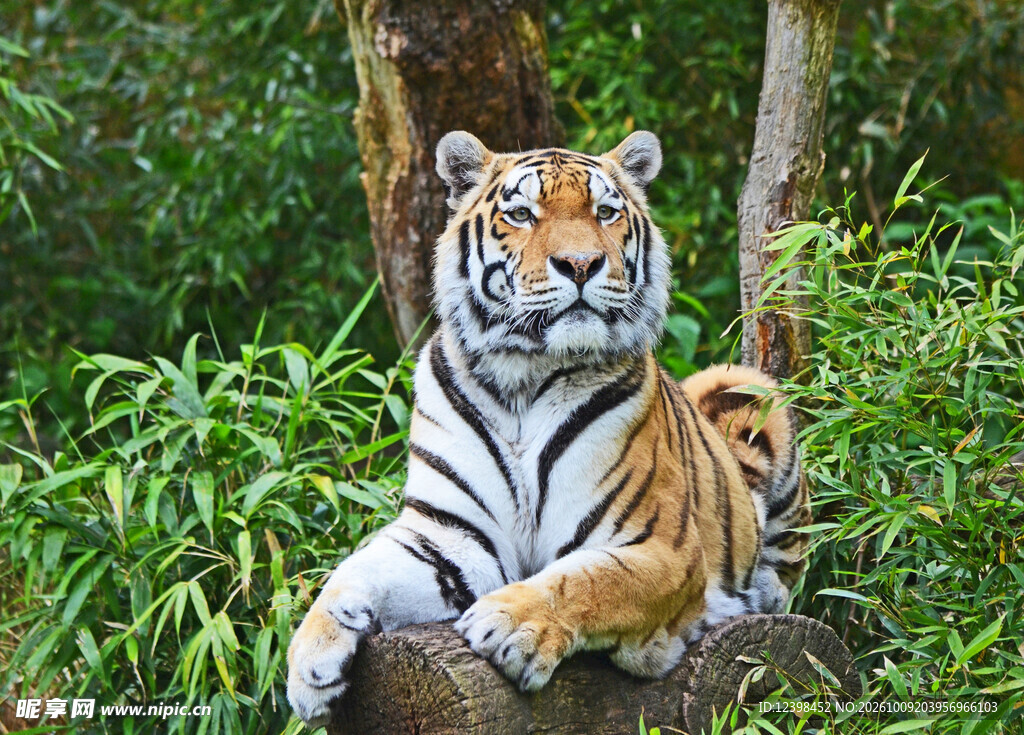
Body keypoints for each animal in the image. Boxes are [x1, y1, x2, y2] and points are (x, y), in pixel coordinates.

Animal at [286, 130, 809, 727]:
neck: (523, 377)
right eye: (521, 214)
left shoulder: (662, 548)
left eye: (605, 212)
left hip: (745, 385)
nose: (580, 264)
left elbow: (586, 579)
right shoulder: (449, 534)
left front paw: (508, 623)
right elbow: (352, 572)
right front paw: (309, 664)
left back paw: (762, 594)